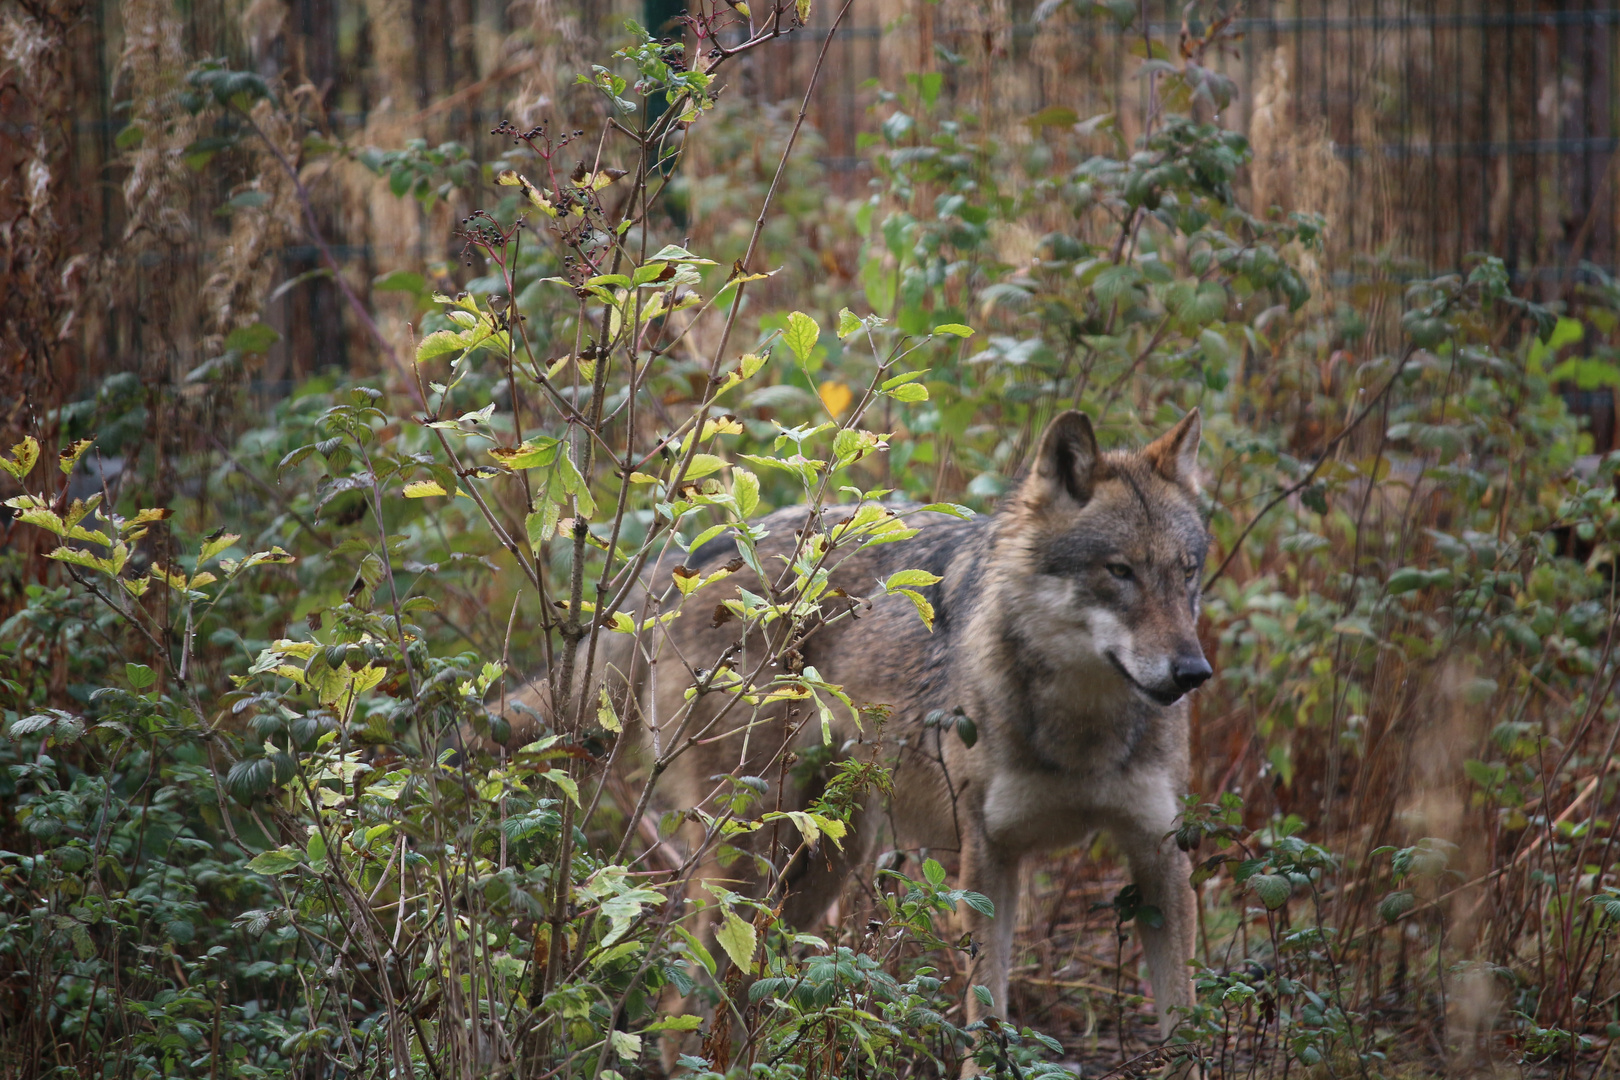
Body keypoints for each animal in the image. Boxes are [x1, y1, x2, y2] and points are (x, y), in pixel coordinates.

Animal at [505, 408, 1205, 1036]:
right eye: (1120, 572)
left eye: (1188, 573)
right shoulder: (987, 866)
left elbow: (1186, 1028)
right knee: (689, 1004)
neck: (1084, 732)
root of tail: (695, 553)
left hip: (824, 863)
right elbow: (987, 1023)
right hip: (752, 863)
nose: (1194, 672)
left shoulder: (1161, 859)